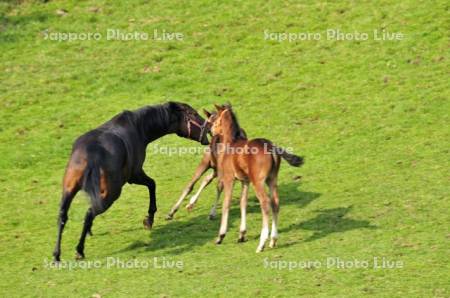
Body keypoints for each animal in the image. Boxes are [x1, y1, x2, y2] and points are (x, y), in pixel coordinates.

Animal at [53, 102, 209, 260]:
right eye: (194, 114)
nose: (208, 124)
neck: (138, 126)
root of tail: (91, 153)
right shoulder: (135, 175)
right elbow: (152, 184)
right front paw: (149, 220)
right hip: (111, 194)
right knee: (89, 213)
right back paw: (79, 249)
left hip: (69, 190)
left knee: (62, 216)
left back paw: (57, 255)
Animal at [208, 104, 302, 251]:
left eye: (215, 118)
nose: (211, 131)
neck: (231, 142)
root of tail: (271, 147)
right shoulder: (245, 181)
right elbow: (243, 203)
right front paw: (241, 234)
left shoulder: (229, 179)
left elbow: (226, 203)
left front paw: (220, 236)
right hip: (272, 180)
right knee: (275, 203)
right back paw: (273, 240)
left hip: (258, 182)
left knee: (265, 203)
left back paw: (262, 243)